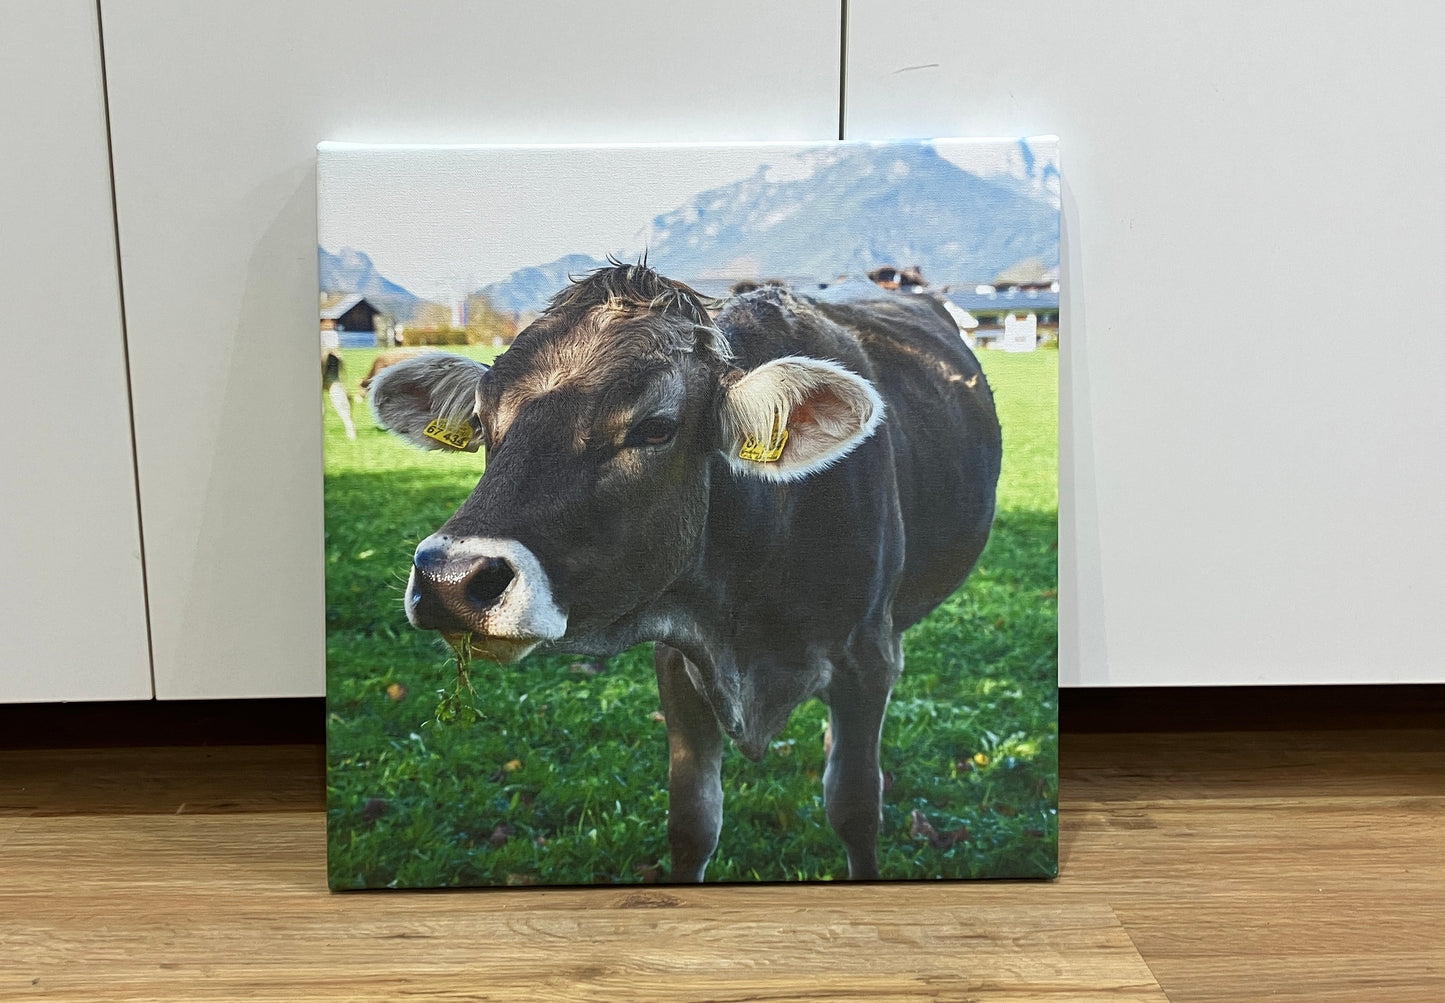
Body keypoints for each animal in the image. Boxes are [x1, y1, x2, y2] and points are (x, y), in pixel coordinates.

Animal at [368, 263, 1002, 880]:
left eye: (655, 427)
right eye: (482, 419)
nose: (450, 579)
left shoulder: (866, 660)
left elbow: (855, 808)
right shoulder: (678, 658)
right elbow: (693, 820)